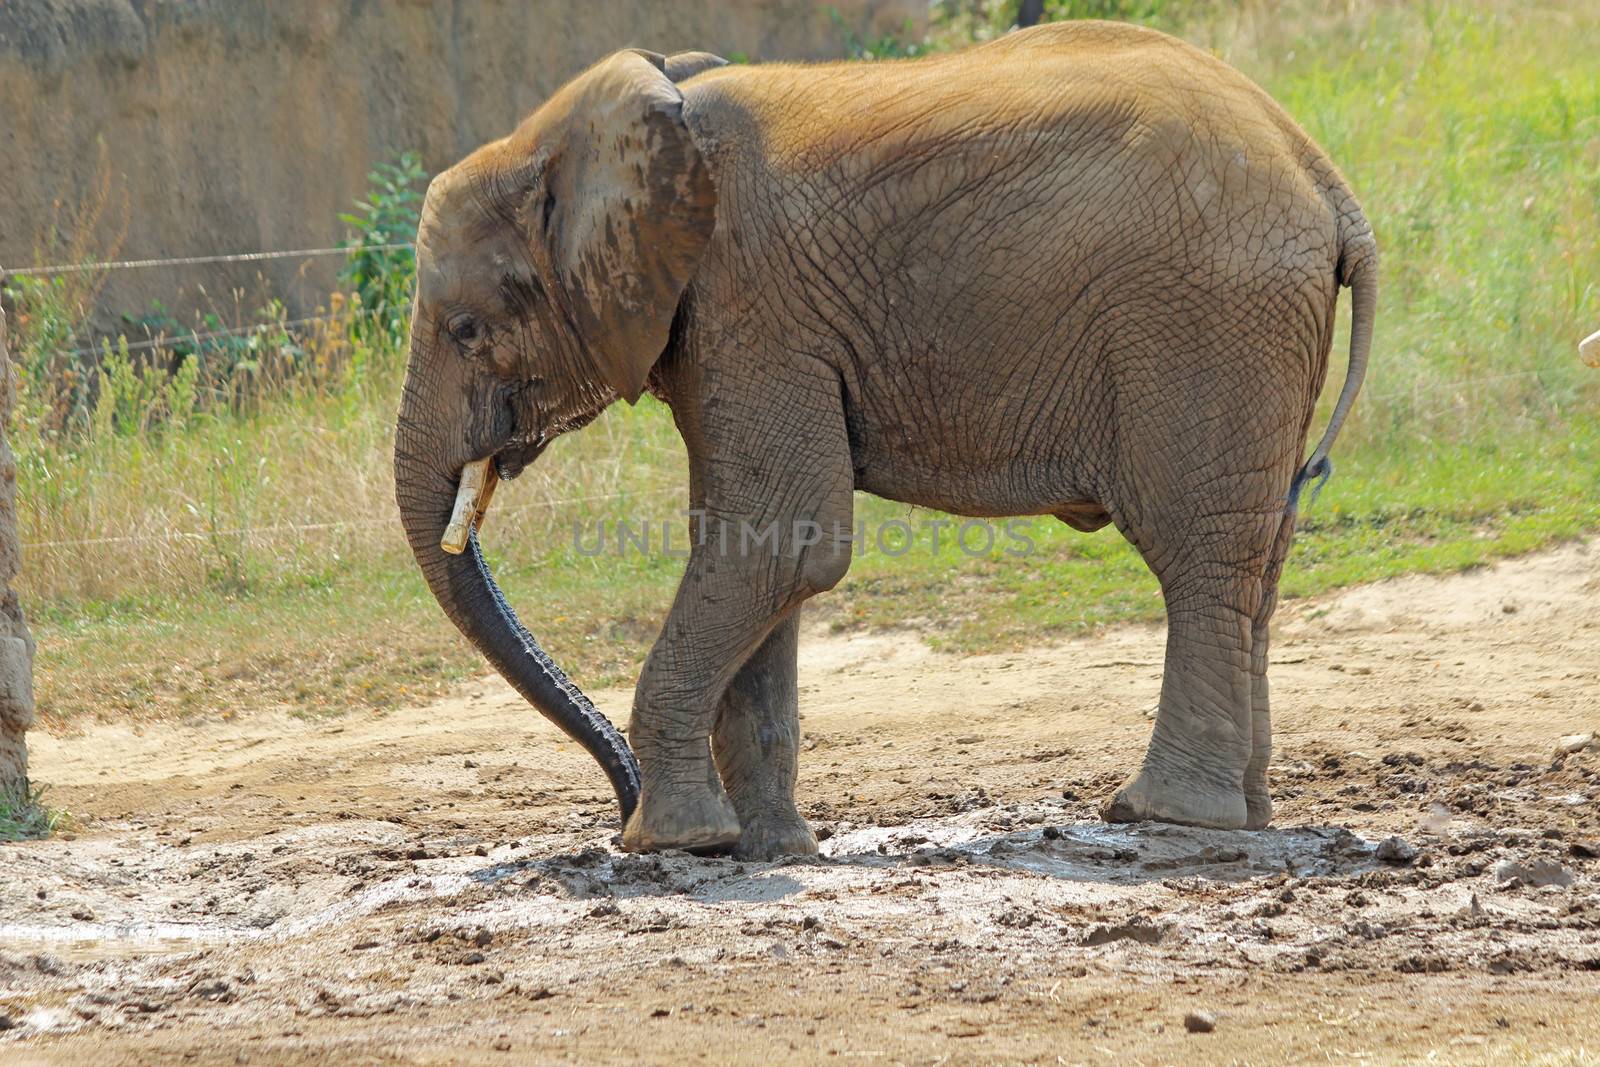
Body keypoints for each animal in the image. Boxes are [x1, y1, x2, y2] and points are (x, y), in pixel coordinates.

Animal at [390, 20, 1376, 857]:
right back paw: (1247, 812)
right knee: (1257, 558)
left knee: (1195, 552)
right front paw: (768, 849)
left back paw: (1161, 814)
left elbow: (785, 537)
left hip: (1204, 324)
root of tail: (1325, 177)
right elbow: (752, 546)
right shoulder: (726, 327)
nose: (616, 806)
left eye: (466, 330)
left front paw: (675, 842)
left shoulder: (750, 301)